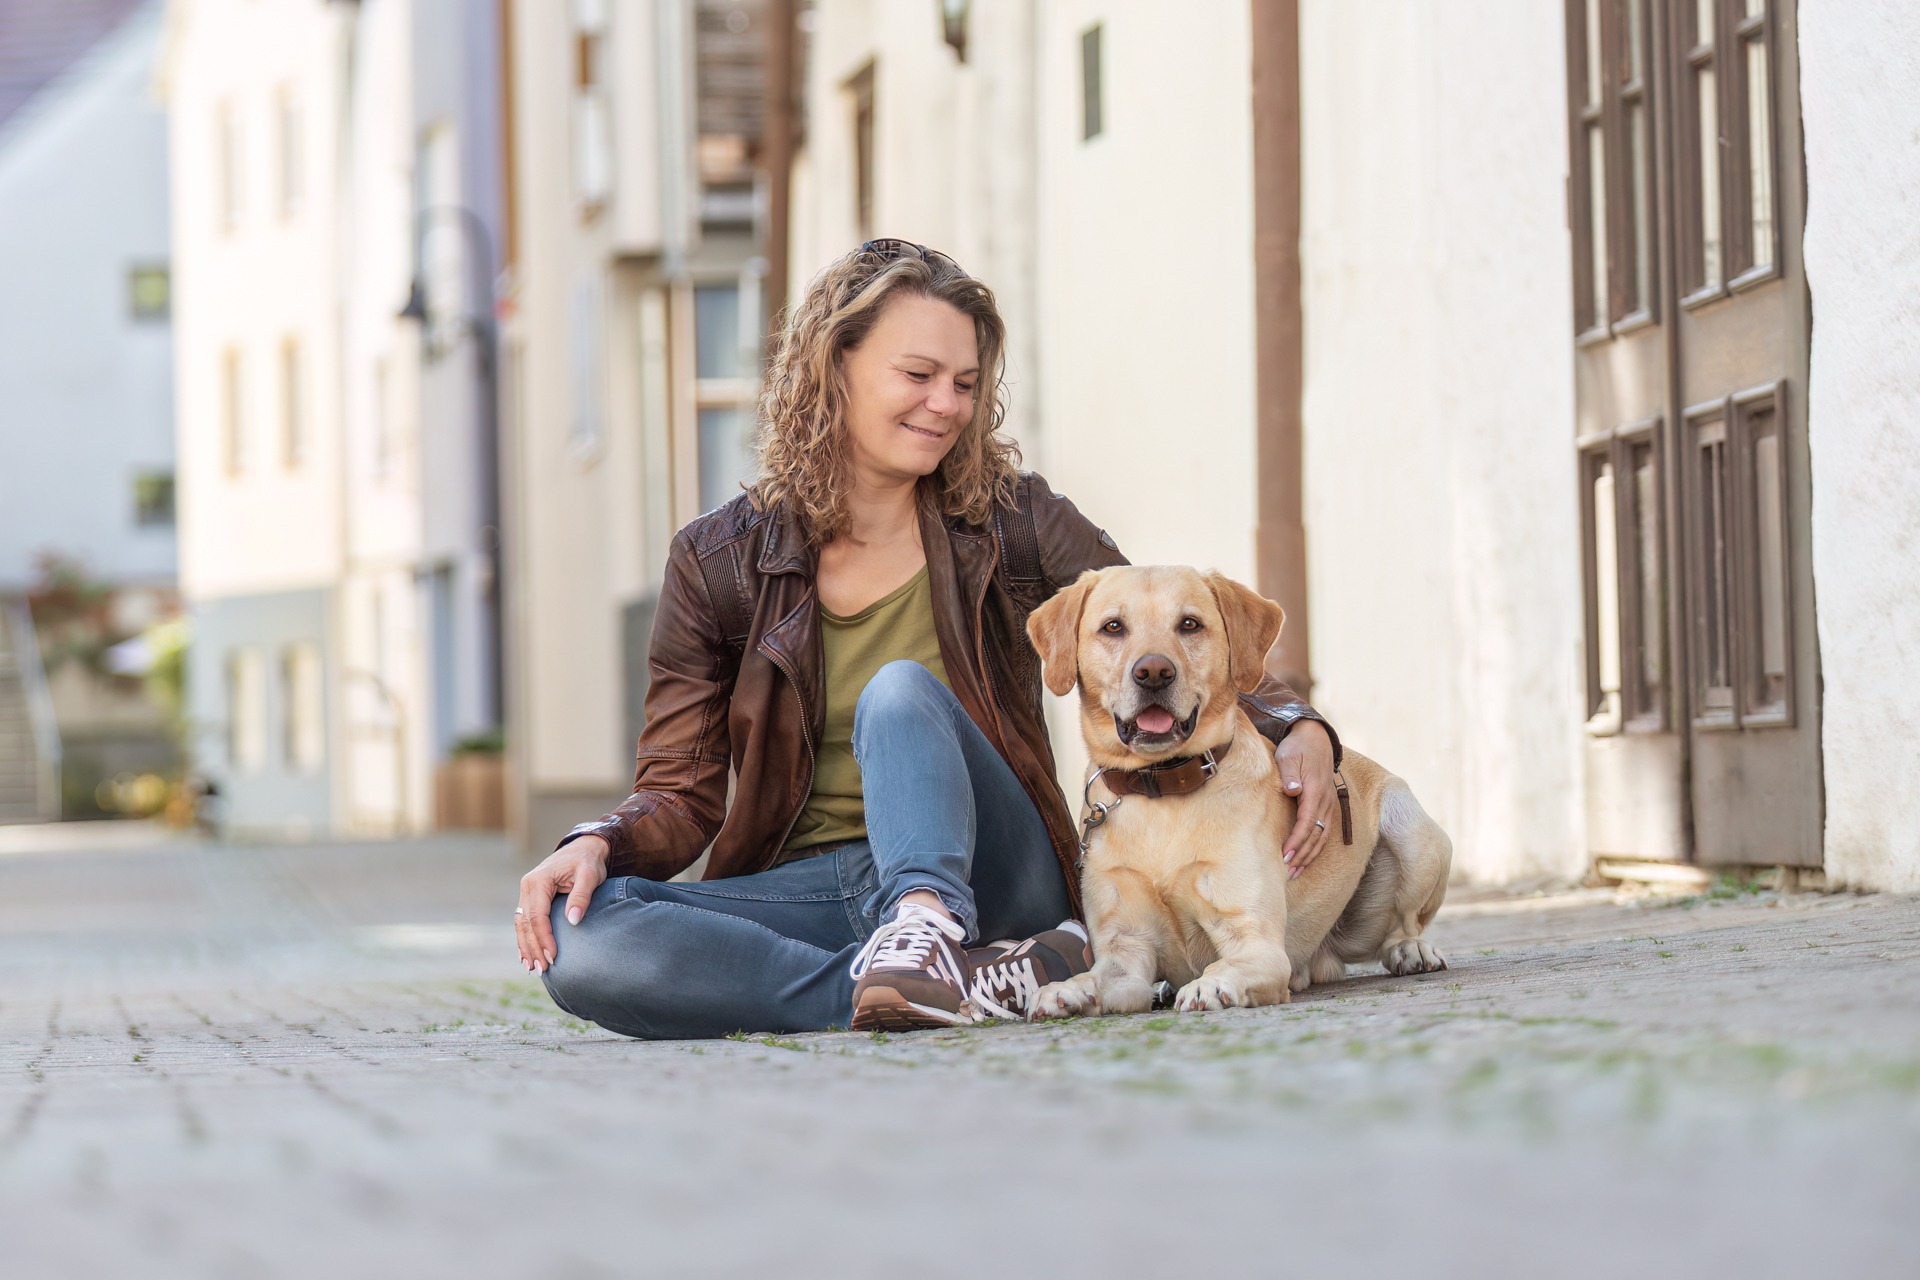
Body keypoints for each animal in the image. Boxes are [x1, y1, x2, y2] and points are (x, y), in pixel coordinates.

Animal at [1029, 571, 1443, 1020]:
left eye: (1189, 624)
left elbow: (1223, 964)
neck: (1161, 791)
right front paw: (1062, 990)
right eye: (1113, 627)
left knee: (1405, 923)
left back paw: (1411, 950)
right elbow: (1094, 978)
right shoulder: (1126, 953)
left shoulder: (1257, 942)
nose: (1154, 672)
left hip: (1412, 828)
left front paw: (1210, 985)